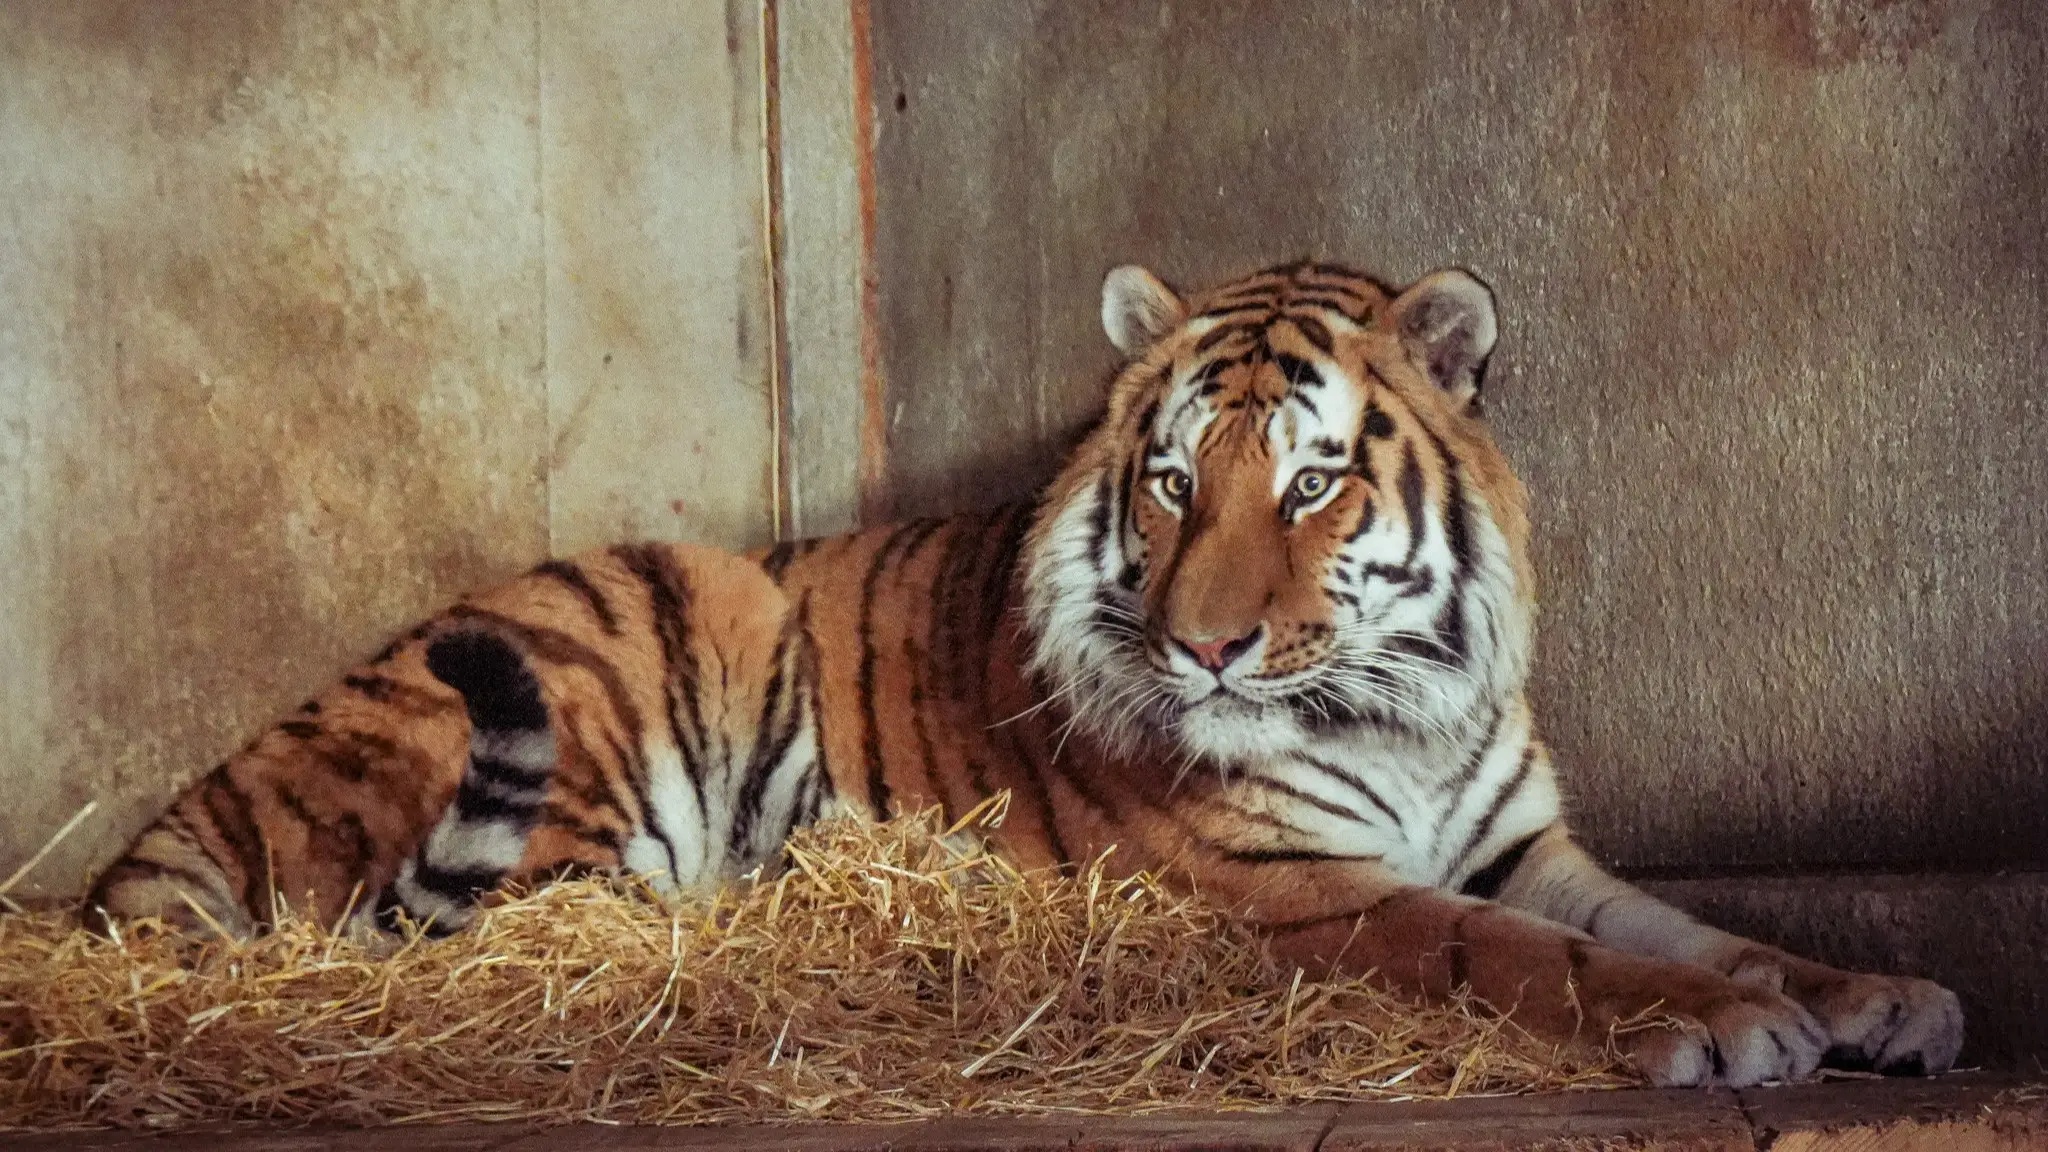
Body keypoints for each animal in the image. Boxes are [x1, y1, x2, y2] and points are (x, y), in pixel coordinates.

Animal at [86, 260, 1964, 1088]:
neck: (1403, 710)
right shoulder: (1301, 891)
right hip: (624, 667)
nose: (1206, 643)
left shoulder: (1525, 844)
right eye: (1171, 481)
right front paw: (1731, 1032)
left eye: (1311, 484)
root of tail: (194, 803)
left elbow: (1692, 924)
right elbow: (1523, 958)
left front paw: (1872, 995)